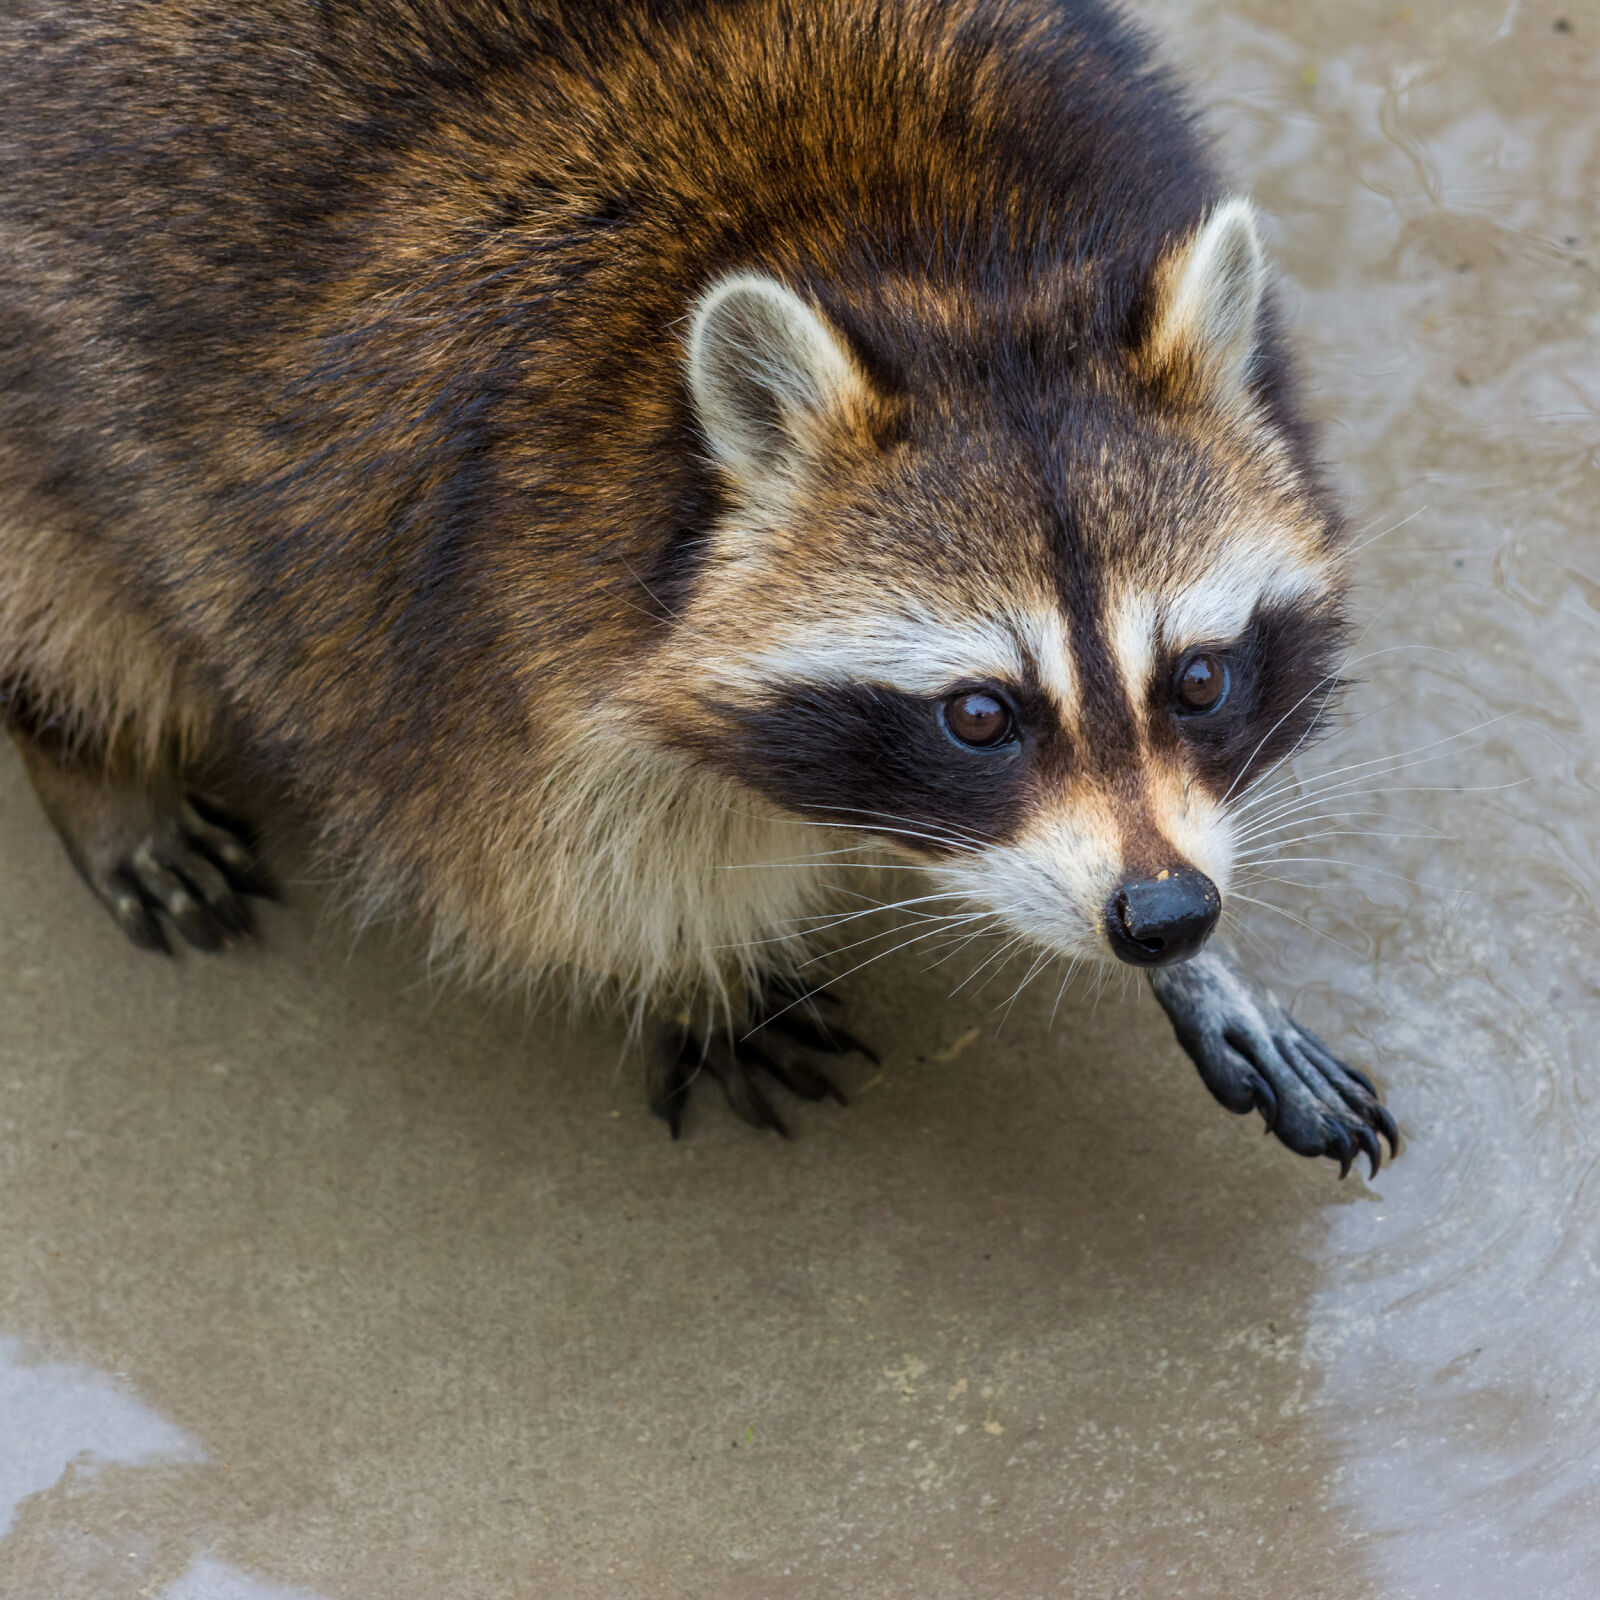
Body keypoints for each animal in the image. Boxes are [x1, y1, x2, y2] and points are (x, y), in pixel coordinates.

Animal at [0, 0, 1396, 1174]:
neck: (925, 256)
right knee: (69, 586)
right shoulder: (445, 577)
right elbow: (555, 862)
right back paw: (84, 755)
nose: (1162, 914)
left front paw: (1206, 968)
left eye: (1199, 678)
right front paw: (692, 969)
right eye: (979, 715)